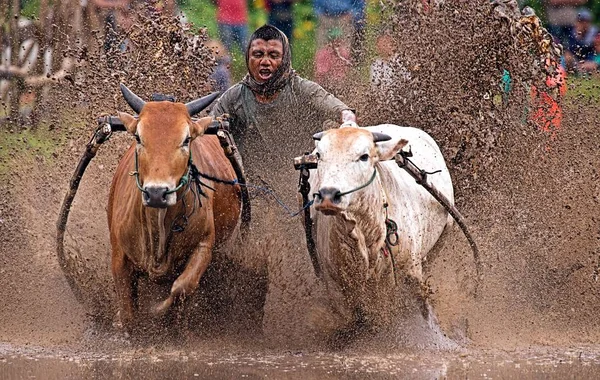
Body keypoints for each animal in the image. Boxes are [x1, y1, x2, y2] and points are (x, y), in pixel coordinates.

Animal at [108, 84, 241, 332]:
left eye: (186, 139)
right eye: (139, 137)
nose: (156, 193)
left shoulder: (204, 246)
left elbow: (181, 288)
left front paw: (161, 313)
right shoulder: (119, 256)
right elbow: (128, 313)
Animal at [310, 124, 454, 332]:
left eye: (364, 156)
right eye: (319, 155)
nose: (328, 195)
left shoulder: (412, 270)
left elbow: (423, 305)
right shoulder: (340, 284)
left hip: (446, 231)